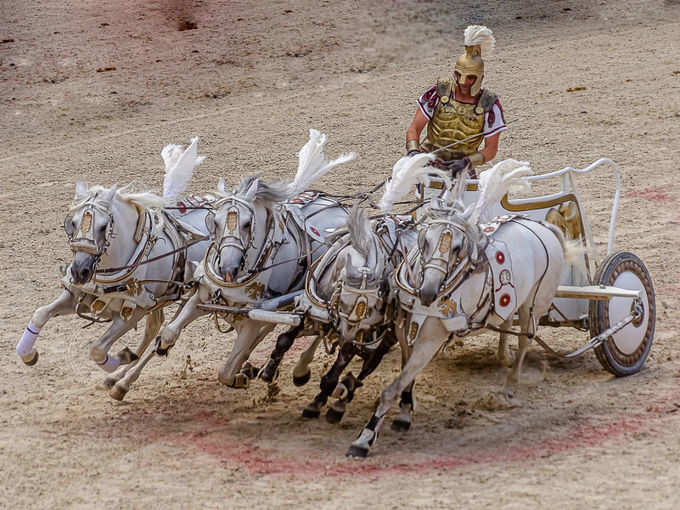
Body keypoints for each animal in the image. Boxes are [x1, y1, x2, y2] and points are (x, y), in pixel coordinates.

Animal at [16, 137, 212, 396]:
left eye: (103, 226)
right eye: (72, 223)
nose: (79, 271)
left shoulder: (133, 311)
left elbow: (97, 349)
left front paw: (124, 355)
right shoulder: (78, 296)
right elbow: (40, 313)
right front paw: (28, 354)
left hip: (197, 299)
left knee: (166, 335)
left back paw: (123, 381)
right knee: (157, 330)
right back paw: (119, 379)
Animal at [348, 157, 564, 456]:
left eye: (457, 247)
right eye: (425, 239)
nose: (428, 292)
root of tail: (543, 227)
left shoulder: (430, 341)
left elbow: (393, 387)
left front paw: (364, 438)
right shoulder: (405, 333)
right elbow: (406, 378)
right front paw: (404, 414)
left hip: (535, 304)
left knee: (525, 340)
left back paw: (510, 386)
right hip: (514, 299)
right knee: (506, 322)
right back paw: (502, 357)